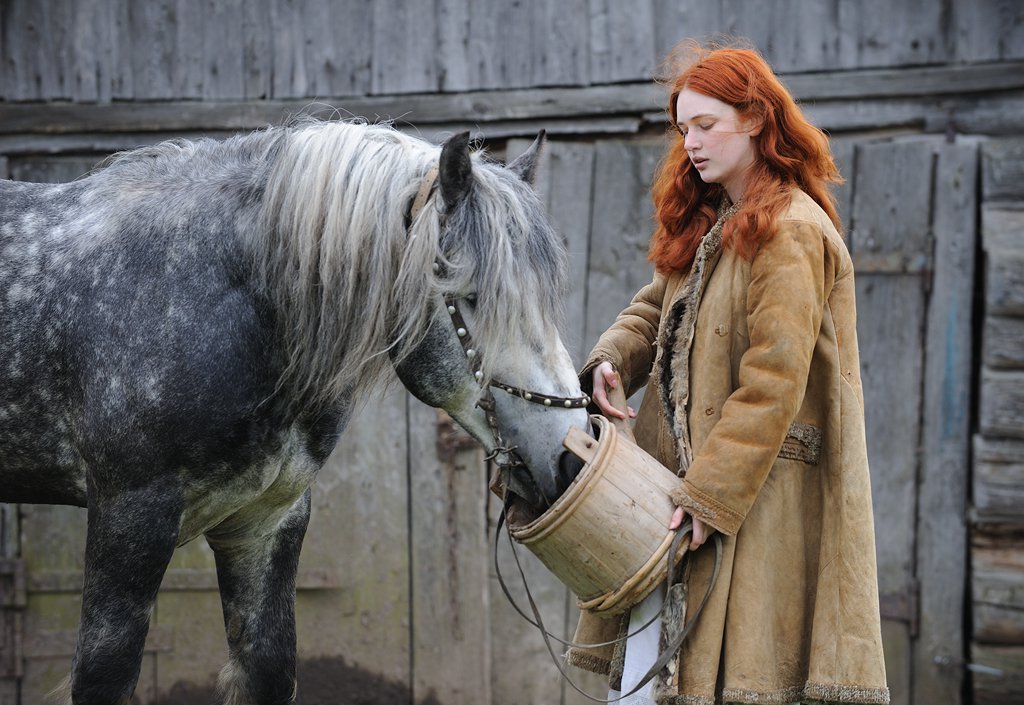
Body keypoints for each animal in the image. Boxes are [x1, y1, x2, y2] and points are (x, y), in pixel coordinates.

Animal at [0, 122, 589, 705]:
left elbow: (268, 666)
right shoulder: (129, 515)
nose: (571, 457)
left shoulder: (266, 521)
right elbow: (104, 673)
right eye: (469, 295)